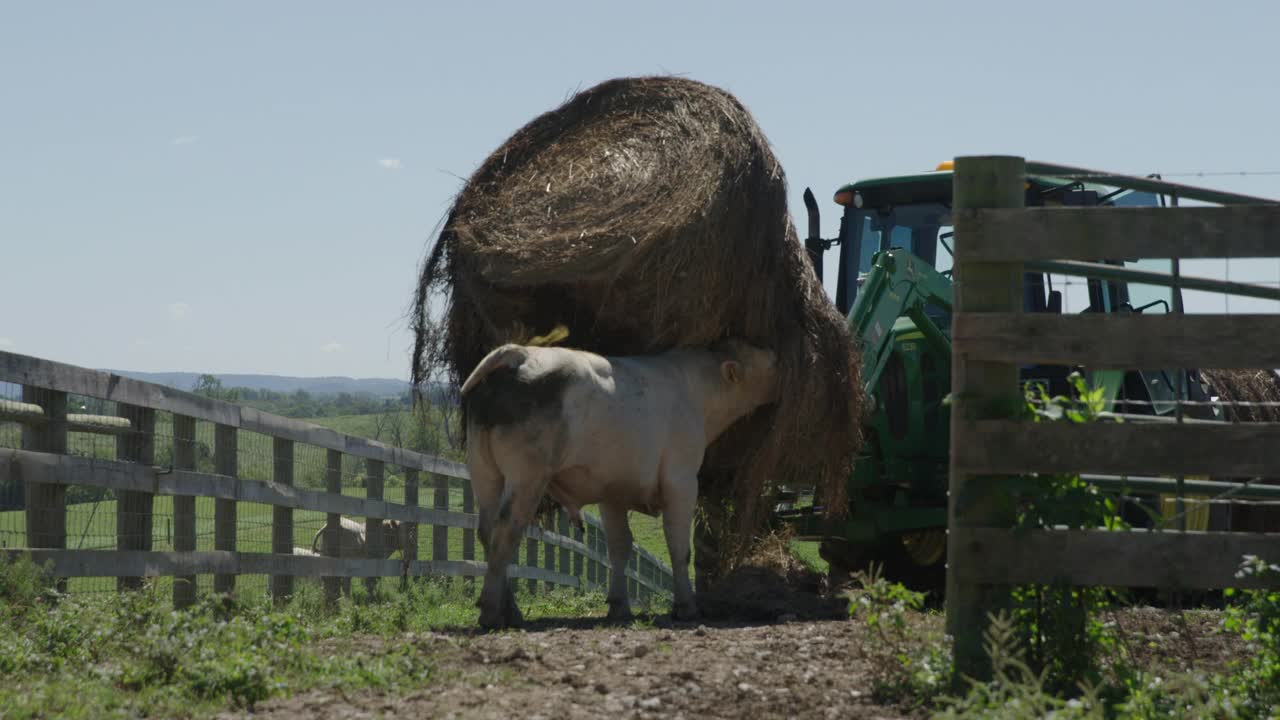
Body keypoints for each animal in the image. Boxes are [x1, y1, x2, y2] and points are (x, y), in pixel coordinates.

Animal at [460, 335, 778, 627]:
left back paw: (509, 610)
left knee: (487, 532)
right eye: (757, 356)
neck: (693, 389)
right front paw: (686, 606)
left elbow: (619, 547)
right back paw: (491, 611)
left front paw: (619, 606)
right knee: (506, 532)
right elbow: (678, 546)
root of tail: (520, 354)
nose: (776, 355)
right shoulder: (681, 480)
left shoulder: (612, 492)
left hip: (485, 474)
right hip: (526, 477)